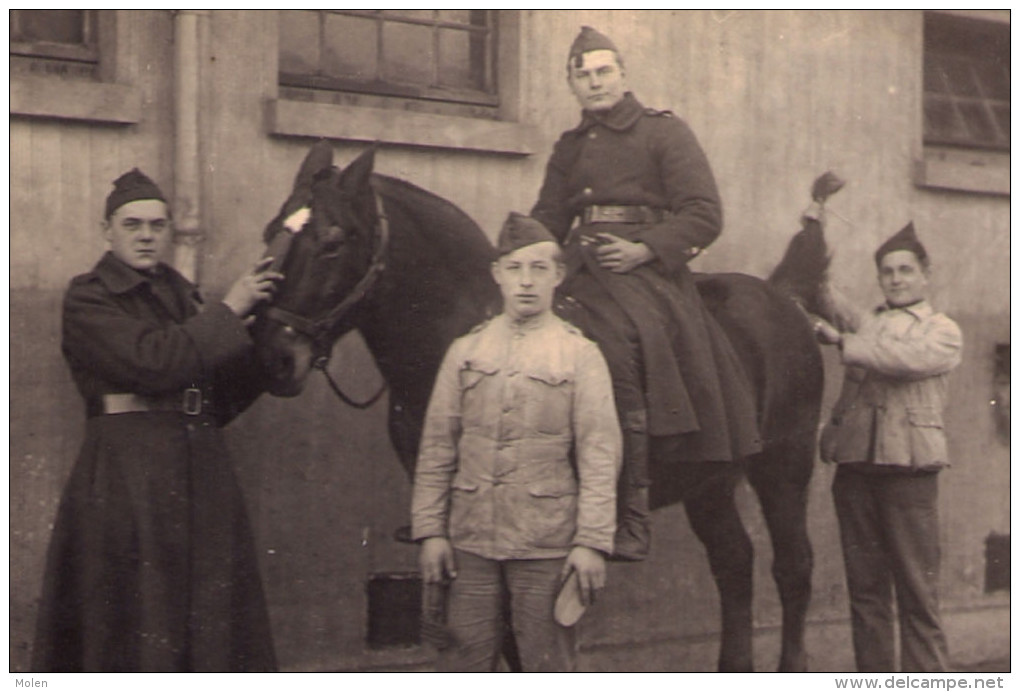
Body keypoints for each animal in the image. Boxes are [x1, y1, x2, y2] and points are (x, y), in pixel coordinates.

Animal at [252, 143, 828, 673]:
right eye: (272, 231)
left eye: (332, 242)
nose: (274, 358)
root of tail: (784, 300)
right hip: (710, 481)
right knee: (734, 562)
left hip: (785, 466)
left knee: (794, 567)